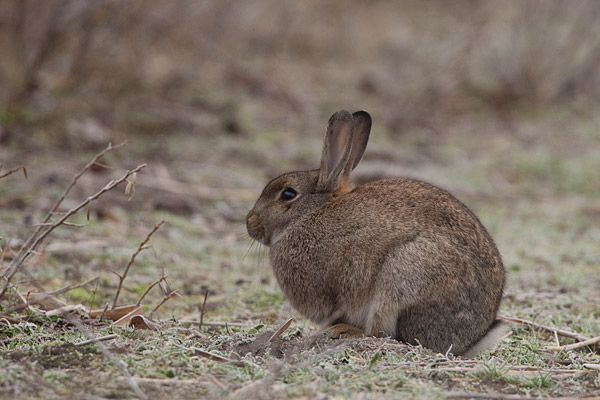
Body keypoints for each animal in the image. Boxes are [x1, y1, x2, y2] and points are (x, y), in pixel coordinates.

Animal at [246, 109, 508, 356]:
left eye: (288, 194)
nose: (250, 223)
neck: (311, 214)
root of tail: (470, 339)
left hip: (402, 277)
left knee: (382, 332)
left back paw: (345, 331)